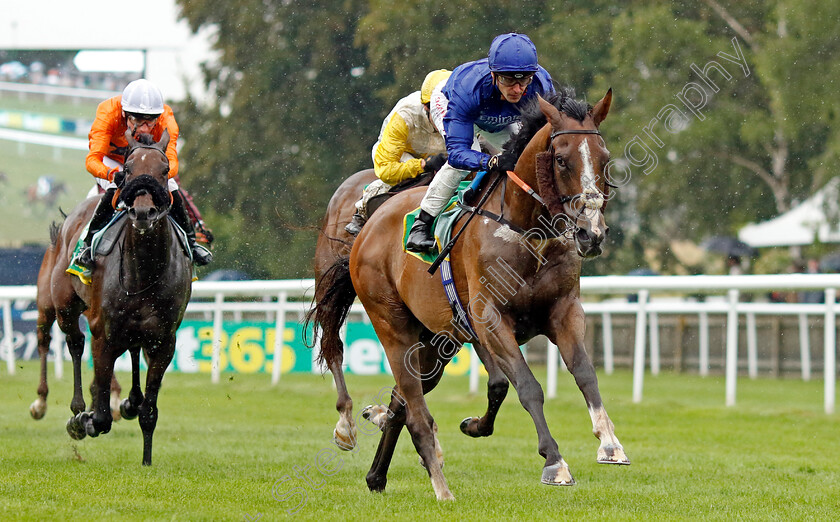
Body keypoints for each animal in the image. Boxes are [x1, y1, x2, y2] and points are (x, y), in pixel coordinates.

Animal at [30, 130, 192, 464]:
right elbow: (102, 414)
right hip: (59, 305)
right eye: (127, 169)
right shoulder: (103, 333)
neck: (144, 270)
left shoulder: (163, 340)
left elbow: (149, 411)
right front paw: (86, 419)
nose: (143, 212)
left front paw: (146, 459)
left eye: (165, 170)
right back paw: (64, 407)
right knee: (64, 342)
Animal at [312, 87, 628, 498]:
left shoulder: (564, 310)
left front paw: (610, 443)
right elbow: (526, 386)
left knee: (404, 397)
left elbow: (583, 373)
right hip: (392, 323)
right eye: (561, 160)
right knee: (385, 380)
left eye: (604, 159)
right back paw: (359, 432)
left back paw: (378, 471)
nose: (592, 233)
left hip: (434, 341)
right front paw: (554, 461)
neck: (525, 231)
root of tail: (368, 228)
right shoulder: (490, 319)